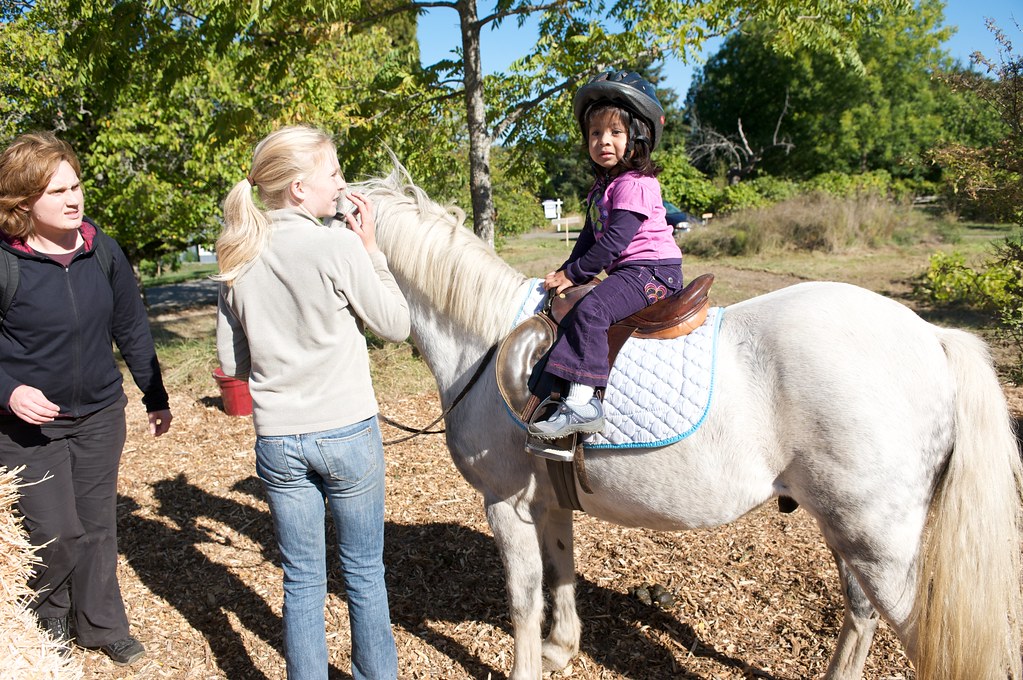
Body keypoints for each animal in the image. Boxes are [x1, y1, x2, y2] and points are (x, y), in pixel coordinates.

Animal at [356, 167, 1023, 680]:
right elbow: (561, 569)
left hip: (879, 545)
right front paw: (562, 649)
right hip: (852, 537)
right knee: (860, 618)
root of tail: (933, 338)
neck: (487, 337)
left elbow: (522, 596)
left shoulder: (505, 501)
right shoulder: (547, 498)